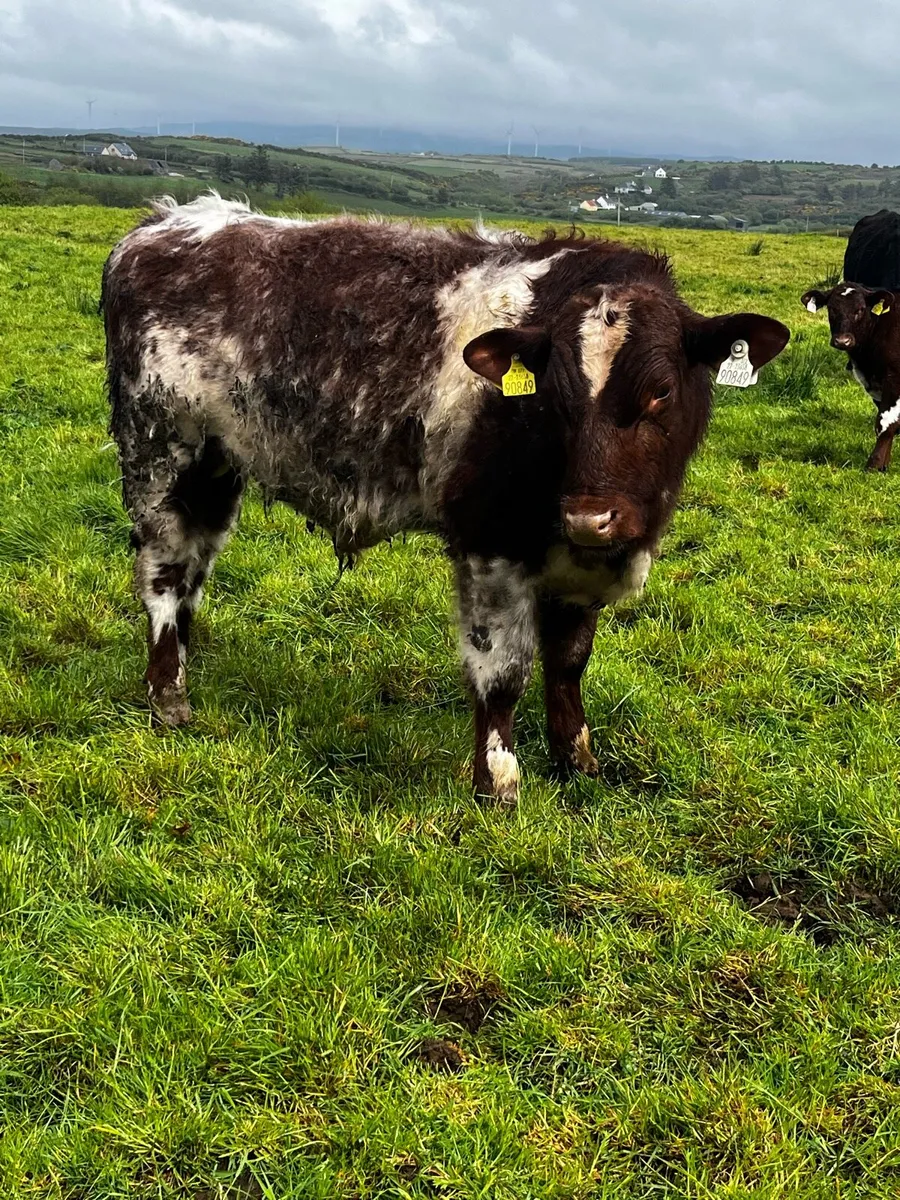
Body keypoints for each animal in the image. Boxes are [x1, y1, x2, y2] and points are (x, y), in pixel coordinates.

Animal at [103, 194, 789, 802]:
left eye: (661, 392)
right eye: (554, 393)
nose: (589, 516)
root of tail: (161, 224)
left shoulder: (580, 564)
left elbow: (570, 662)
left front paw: (577, 763)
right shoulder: (491, 545)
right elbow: (502, 672)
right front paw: (499, 782)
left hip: (217, 468)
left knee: (194, 573)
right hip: (162, 455)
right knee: (165, 575)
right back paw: (168, 697)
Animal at [802, 210, 900, 471]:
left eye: (860, 310)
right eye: (831, 310)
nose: (843, 341)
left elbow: (888, 421)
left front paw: (874, 465)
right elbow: (884, 420)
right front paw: (882, 464)